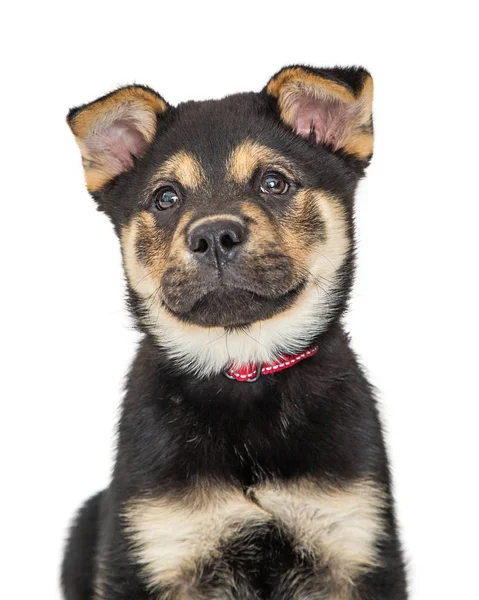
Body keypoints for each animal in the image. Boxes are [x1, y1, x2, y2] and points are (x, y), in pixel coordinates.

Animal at [61, 65, 408, 600]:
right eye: (166, 198)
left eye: (274, 182)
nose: (213, 235)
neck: (242, 370)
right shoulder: (154, 545)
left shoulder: (354, 542)